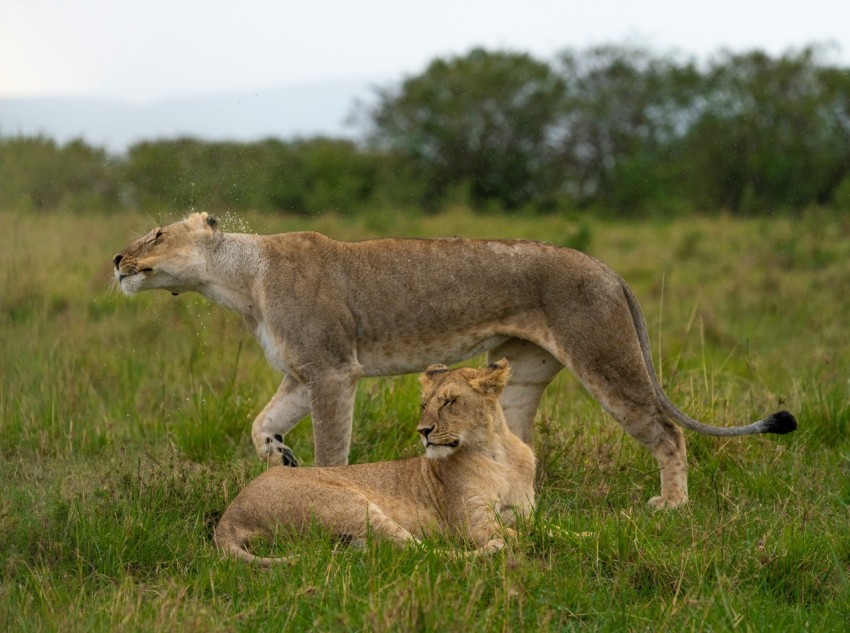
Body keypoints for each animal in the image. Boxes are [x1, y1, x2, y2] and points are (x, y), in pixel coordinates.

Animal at [113, 212, 796, 508]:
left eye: (155, 235)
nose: (117, 259)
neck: (237, 283)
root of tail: (608, 268)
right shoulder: (302, 373)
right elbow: (261, 424)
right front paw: (280, 457)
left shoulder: (333, 371)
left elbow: (333, 451)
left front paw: (320, 487)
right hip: (517, 377)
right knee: (518, 448)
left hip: (605, 358)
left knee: (668, 432)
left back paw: (671, 506)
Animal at [213, 360, 535, 564]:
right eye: (424, 405)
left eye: (449, 402)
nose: (423, 431)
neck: (497, 454)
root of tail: (230, 514)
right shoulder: (473, 526)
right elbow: (523, 535)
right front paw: (524, 542)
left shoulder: (523, 512)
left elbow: (541, 526)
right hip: (352, 504)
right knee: (421, 552)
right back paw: (493, 550)